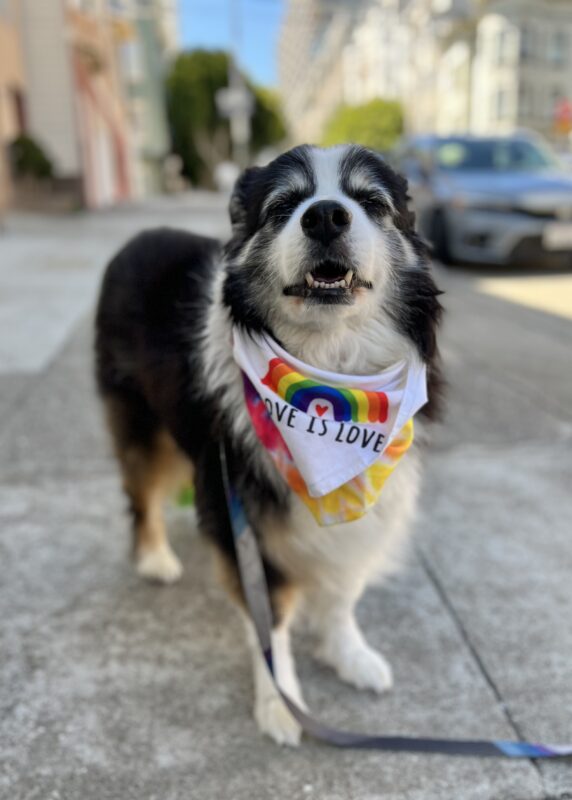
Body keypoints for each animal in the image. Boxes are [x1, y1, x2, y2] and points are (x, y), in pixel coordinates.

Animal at [95, 142, 442, 744]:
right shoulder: (245, 514)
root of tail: (136, 238)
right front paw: (281, 704)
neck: (330, 365)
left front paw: (348, 653)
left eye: (372, 202)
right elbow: (270, 619)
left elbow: (343, 589)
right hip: (141, 423)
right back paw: (156, 556)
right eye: (283, 206)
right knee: (142, 494)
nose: (325, 215)